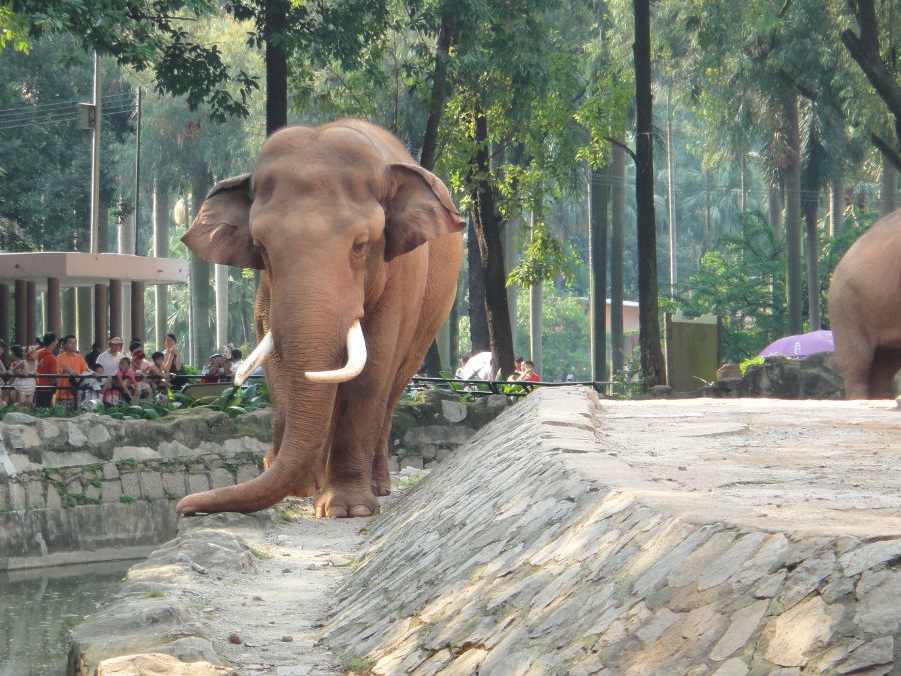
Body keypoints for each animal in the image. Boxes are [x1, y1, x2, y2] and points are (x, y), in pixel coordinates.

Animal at [176, 119, 466, 517]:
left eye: (361, 244)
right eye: (261, 248)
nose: (182, 506)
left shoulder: (402, 278)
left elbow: (373, 368)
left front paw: (348, 509)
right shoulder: (268, 291)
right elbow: (277, 360)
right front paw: (300, 487)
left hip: (429, 321)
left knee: (392, 388)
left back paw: (377, 486)